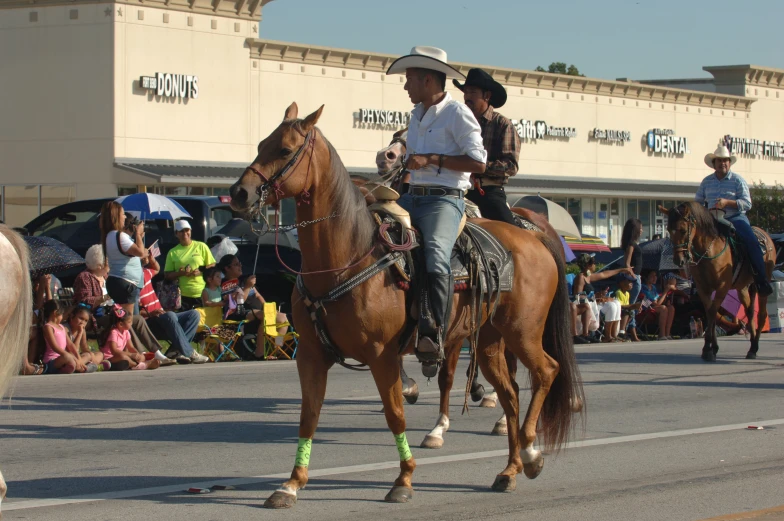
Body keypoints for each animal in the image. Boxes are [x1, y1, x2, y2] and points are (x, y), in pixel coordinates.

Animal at [376, 130, 568, 446]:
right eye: (395, 134)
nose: (386, 156)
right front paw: (410, 389)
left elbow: (447, 375)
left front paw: (439, 425)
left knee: (517, 368)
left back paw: (503, 416)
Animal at [660, 203, 776, 362]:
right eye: (668, 230)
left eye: (683, 230)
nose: (679, 260)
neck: (709, 249)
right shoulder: (703, 289)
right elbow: (710, 313)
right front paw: (711, 348)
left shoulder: (722, 287)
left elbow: (712, 311)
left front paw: (708, 349)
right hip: (742, 287)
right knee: (750, 312)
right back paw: (752, 346)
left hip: (763, 284)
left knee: (762, 314)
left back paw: (754, 348)